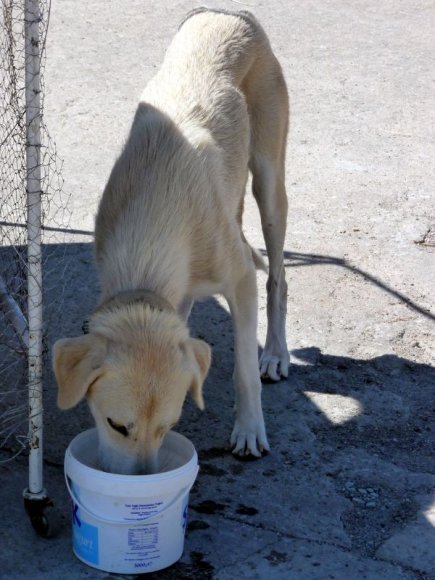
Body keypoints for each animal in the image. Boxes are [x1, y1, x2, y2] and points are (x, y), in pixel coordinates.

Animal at [52, 6, 288, 474]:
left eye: (168, 426)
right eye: (117, 425)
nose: (143, 479)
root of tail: (231, 13)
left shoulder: (240, 278)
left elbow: (244, 371)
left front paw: (250, 429)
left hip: (270, 184)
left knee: (278, 277)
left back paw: (275, 353)